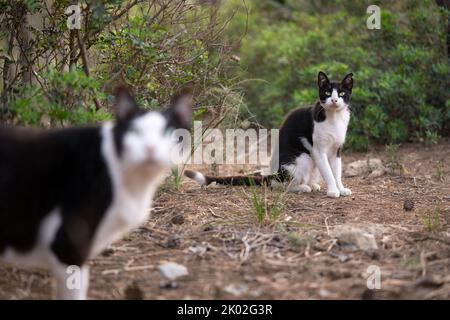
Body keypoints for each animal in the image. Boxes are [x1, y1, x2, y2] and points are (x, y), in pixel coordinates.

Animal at [185, 71, 354, 199]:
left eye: (341, 93)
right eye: (327, 92)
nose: (334, 100)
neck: (334, 118)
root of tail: (274, 173)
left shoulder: (336, 150)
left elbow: (337, 172)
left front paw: (341, 189)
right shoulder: (319, 150)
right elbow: (328, 172)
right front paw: (333, 191)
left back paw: (311, 184)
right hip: (302, 158)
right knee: (280, 184)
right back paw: (302, 187)